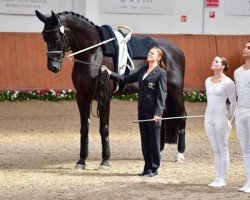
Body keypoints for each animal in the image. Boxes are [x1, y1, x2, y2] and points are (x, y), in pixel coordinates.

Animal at [36, 9, 187, 169]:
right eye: (44, 36)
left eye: (57, 36)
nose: (53, 66)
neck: (93, 52)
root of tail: (176, 49)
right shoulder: (82, 96)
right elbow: (84, 128)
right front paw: (81, 161)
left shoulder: (104, 96)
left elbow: (104, 128)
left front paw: (105, 161)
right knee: (161, 117)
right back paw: (159, 152)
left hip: (175, 89)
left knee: (181, 115)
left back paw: (180, 154)